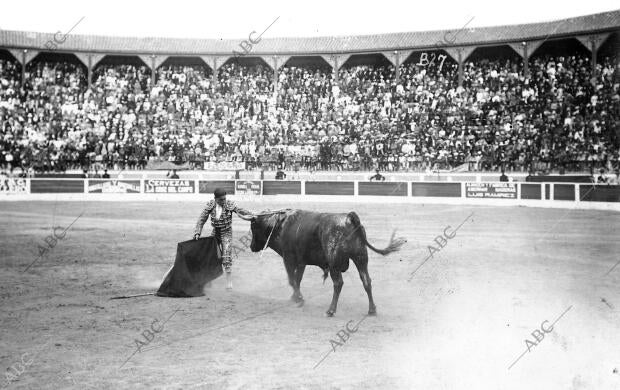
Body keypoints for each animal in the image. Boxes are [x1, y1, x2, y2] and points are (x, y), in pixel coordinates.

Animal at [249, 209, 404, 316]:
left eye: (253, 228)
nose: (251, 247)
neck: (281, 225)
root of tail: (348, 218)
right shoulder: (301, 262)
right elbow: (297, 279)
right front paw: (295, 297)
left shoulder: (289, 259)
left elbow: (292, 280)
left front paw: (299, 299)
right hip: (361, 257)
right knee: (366, 280)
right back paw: (372, 310)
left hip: (334, 262)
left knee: (338, 283)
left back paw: (330, 310)